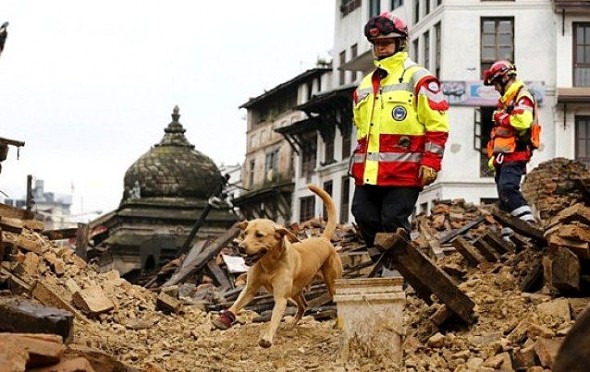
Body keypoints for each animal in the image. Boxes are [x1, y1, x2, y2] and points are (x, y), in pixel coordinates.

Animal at [213, 184, 344, 348]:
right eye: (245, 233)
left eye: (259, 235)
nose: (240, 247)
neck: (269, 263)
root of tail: (324, 239)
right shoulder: (250, 288)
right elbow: (236, 304)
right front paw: (223, 319)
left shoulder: (281, 298)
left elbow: (274, 318)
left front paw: (267, 337)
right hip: (295, 290)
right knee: (303, 304)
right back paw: (292, 324)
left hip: (331, 284)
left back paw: (339, 325)